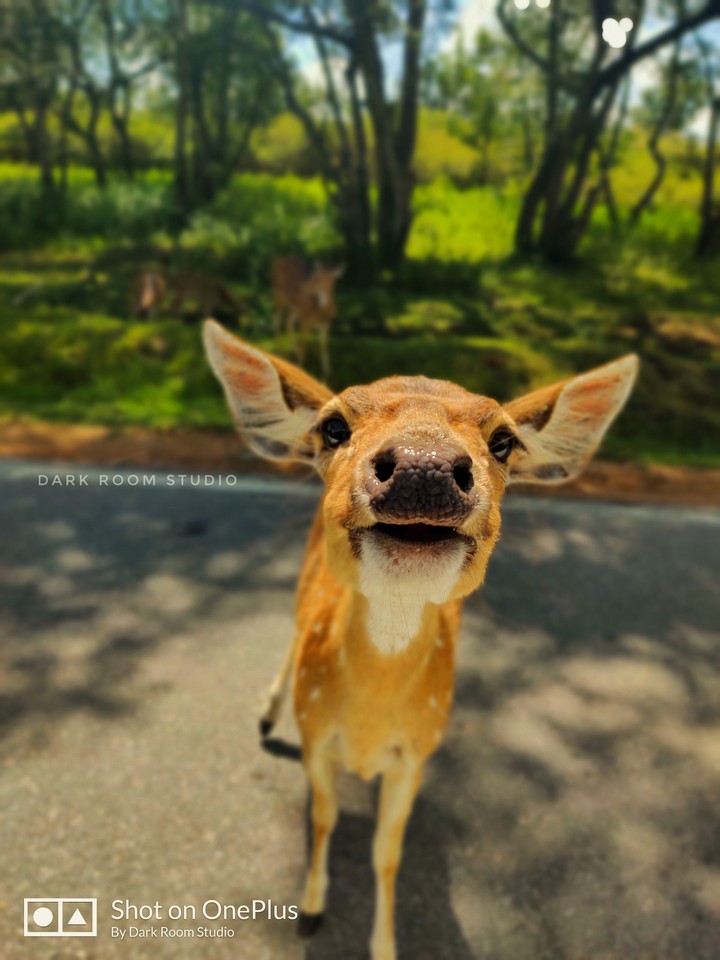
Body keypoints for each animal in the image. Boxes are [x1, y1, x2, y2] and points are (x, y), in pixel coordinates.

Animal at [202, 318, 638, 960]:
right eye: (333, 426)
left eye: (503, 440)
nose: (423, 466)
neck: (366, 724)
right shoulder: (316, 738)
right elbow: (325, 819)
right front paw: (310, 910)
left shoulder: (414, 753)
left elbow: (388, 854)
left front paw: (384, 943)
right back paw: (266, 710)